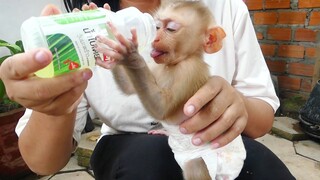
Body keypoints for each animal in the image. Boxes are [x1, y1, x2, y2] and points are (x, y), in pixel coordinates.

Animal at [96, 1, 246, 180]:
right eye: (157, 27)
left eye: (171, 29)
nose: (155, 38)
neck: (174, 64)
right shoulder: (157, 67)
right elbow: (129, 87)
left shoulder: (189, 70)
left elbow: (162, 109)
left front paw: (129, 54)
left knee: (195, 166)